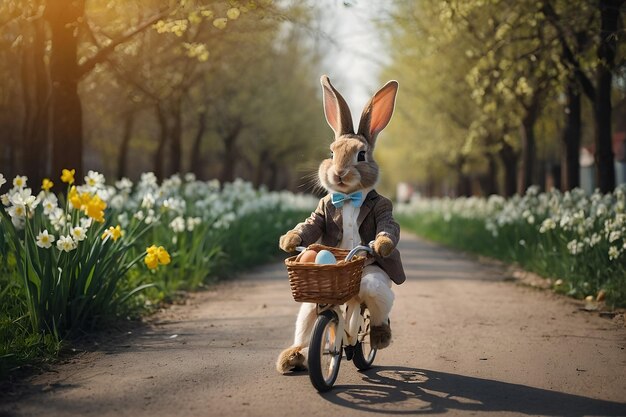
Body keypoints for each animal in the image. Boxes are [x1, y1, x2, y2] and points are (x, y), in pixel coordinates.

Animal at [274, 75, 404, 374]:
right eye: (331, 153)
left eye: (361, 155)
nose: (339, 173)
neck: (348, 197)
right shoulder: (322, 211)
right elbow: (310, 224)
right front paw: (289, 240)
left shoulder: (384, 208)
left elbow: (388, 224)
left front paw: (382, 244)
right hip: (311, 307)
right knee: (309, 322)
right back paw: (293, 357)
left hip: (374, 287)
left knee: (368, 316)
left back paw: (377, 338)